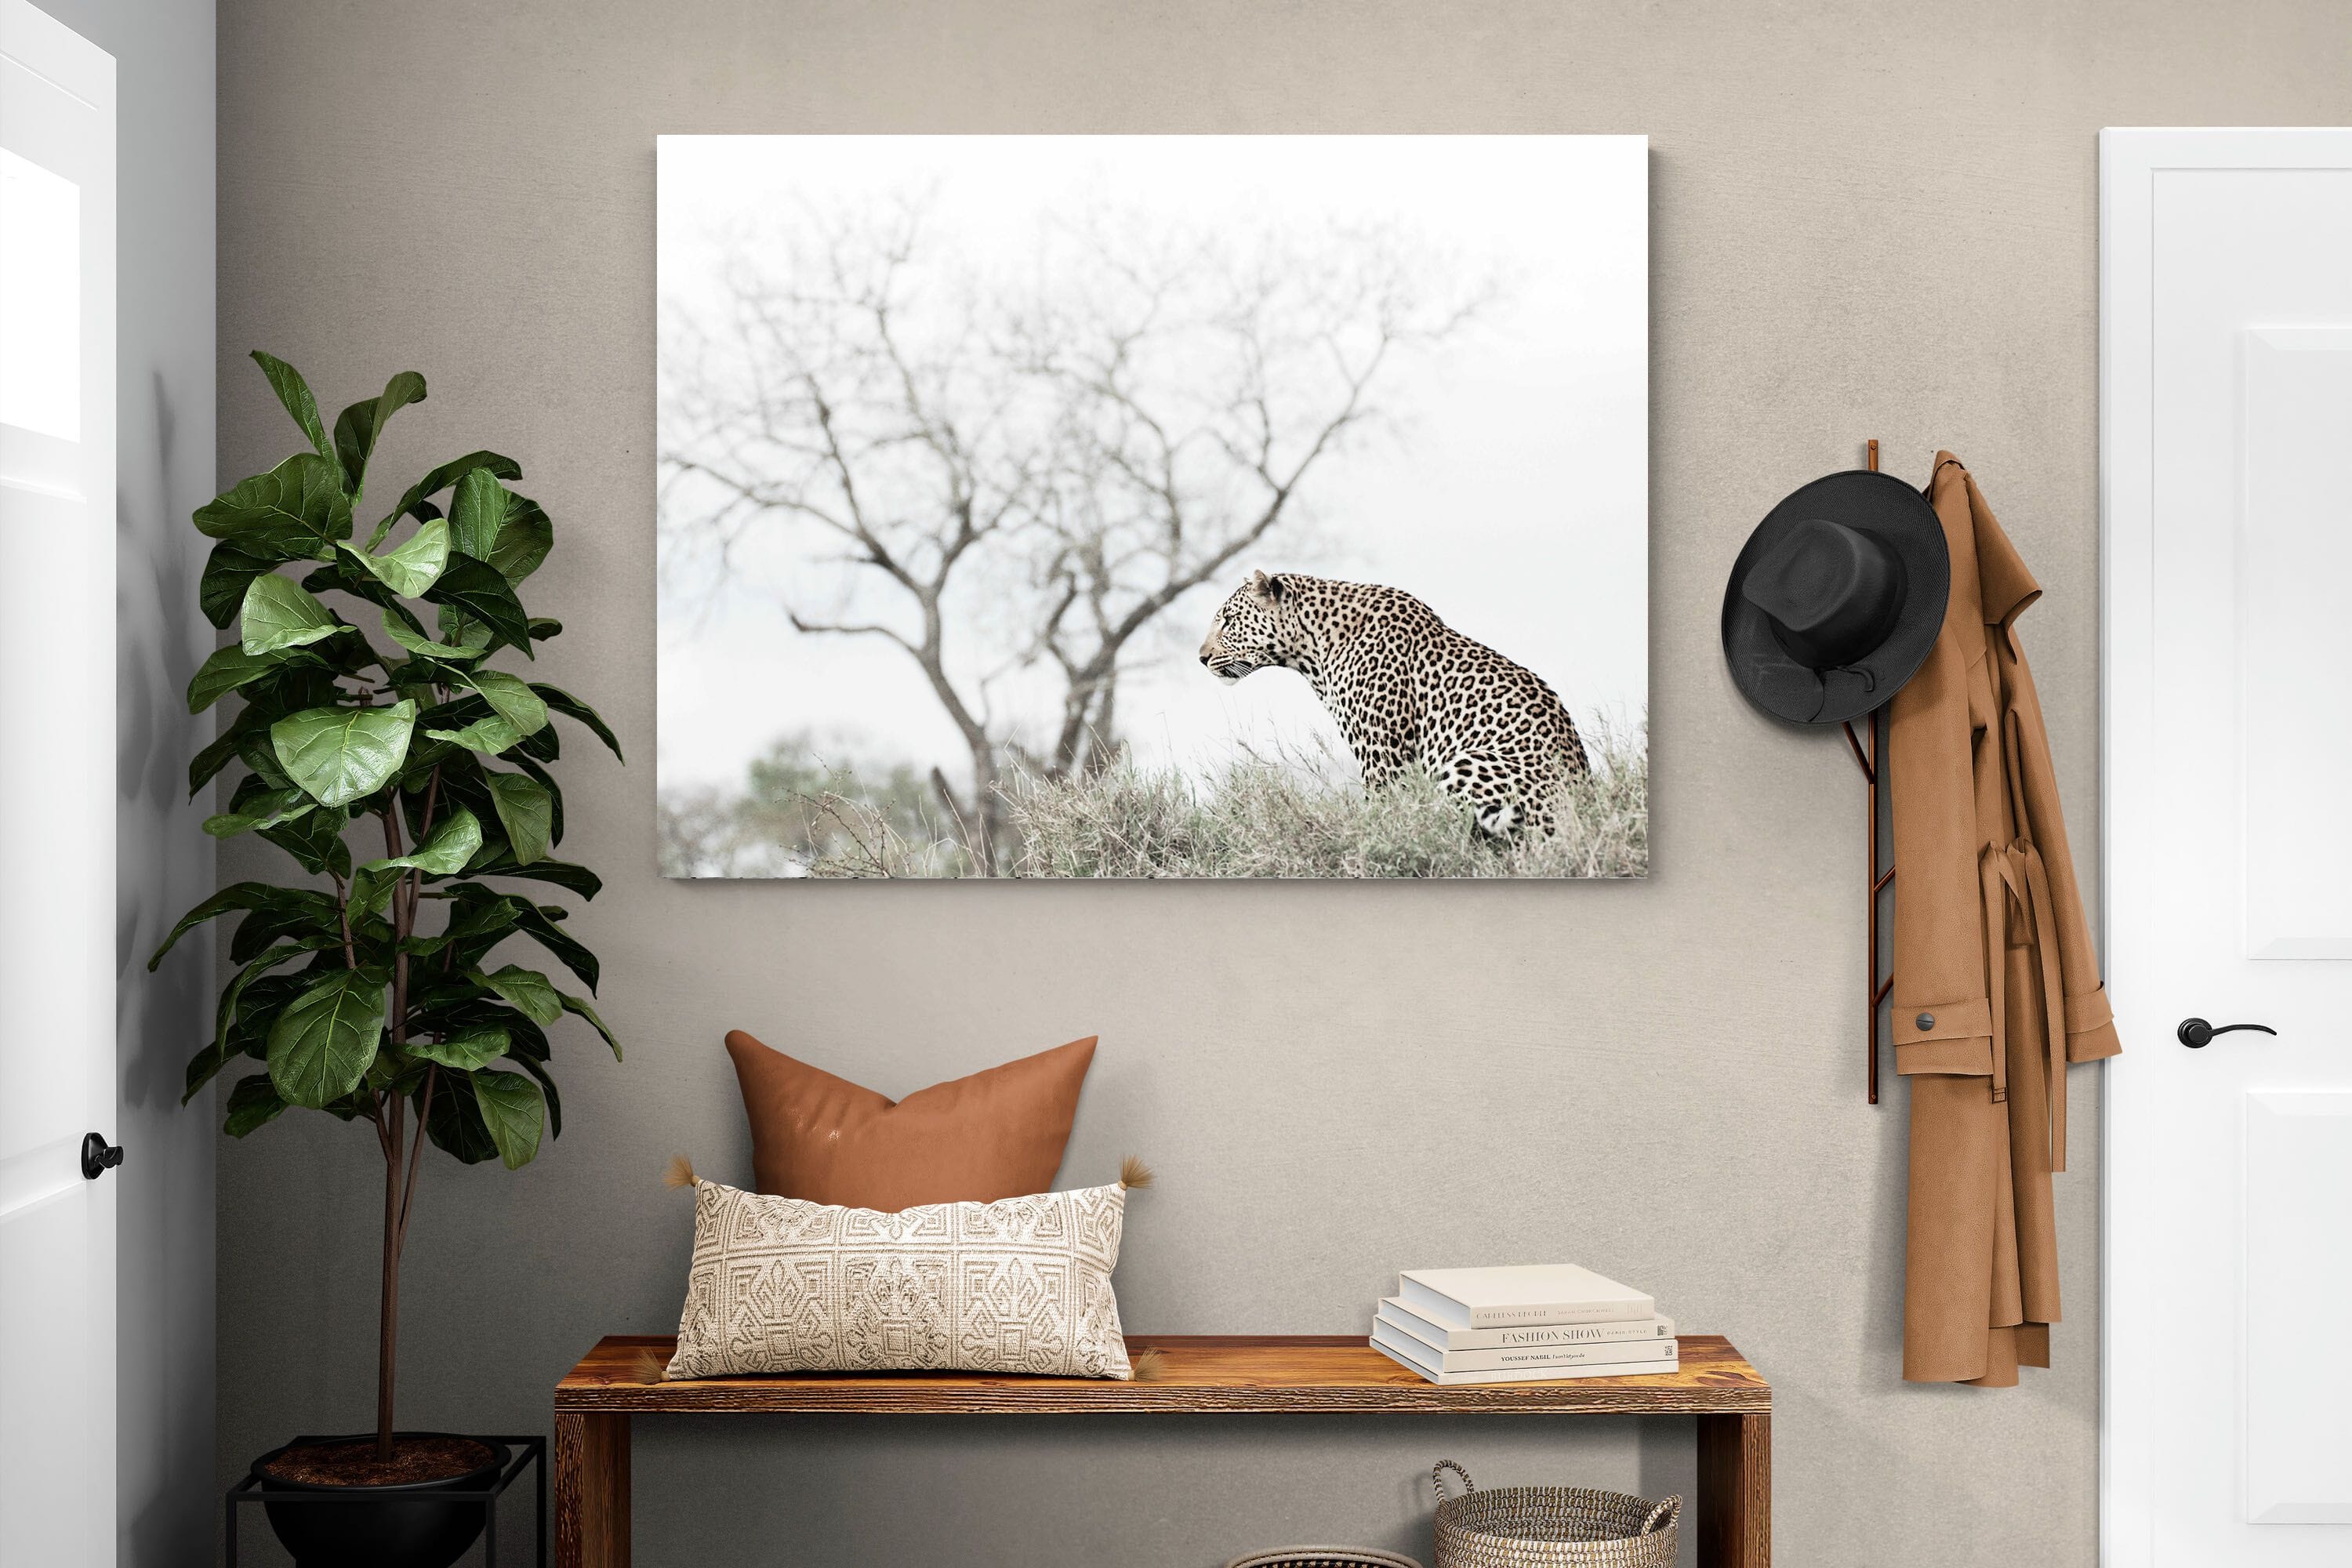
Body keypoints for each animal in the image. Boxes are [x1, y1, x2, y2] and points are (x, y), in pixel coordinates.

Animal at [1198, 570, 1591, 838]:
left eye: (1229, 620)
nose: (1201, 658)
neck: (1311, 649)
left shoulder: (1381, 752)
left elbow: (1382, 810)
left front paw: (1373, 839)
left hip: (1467, 762)